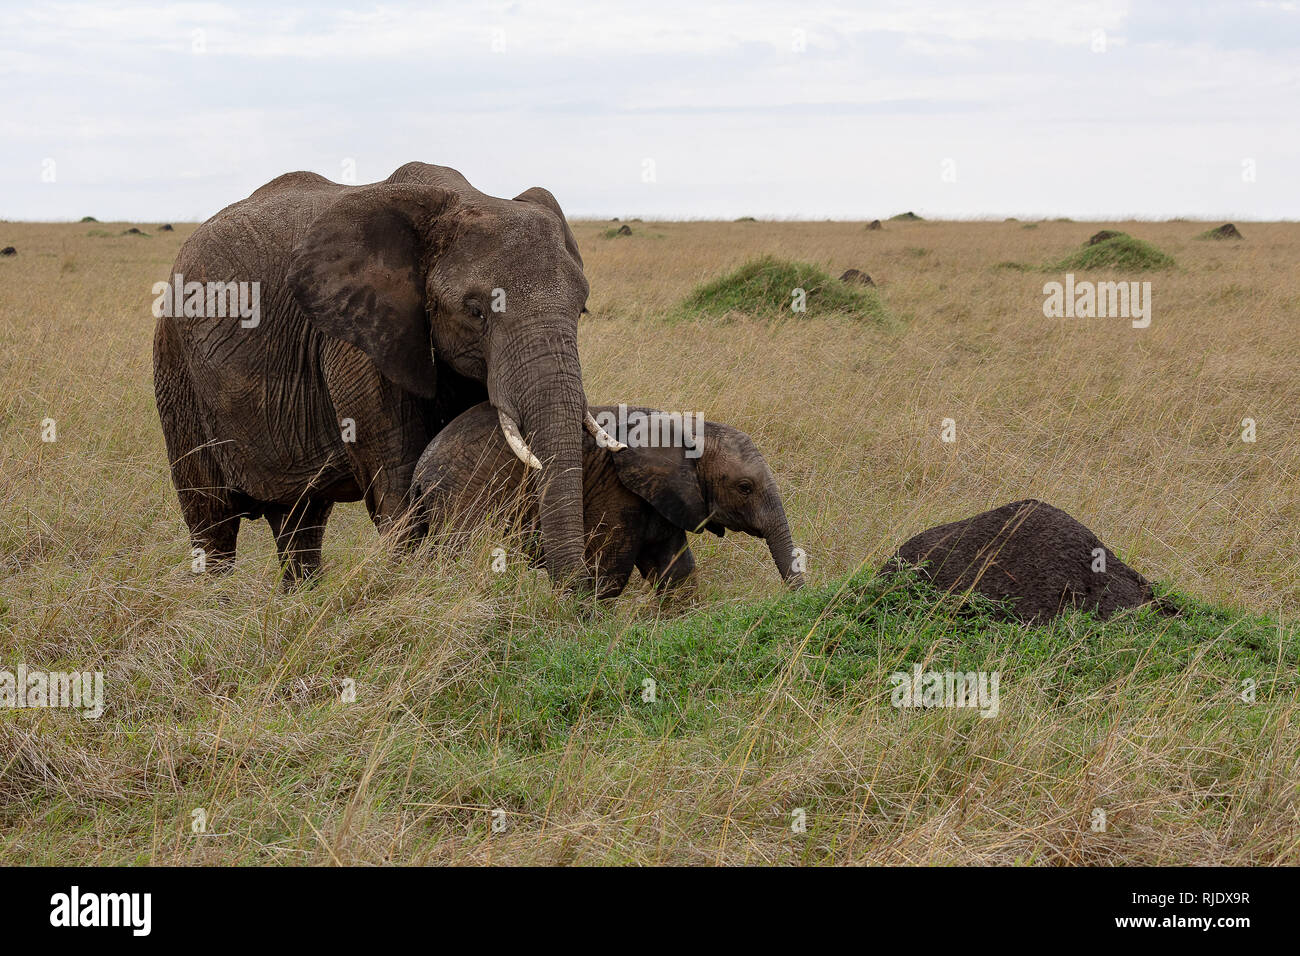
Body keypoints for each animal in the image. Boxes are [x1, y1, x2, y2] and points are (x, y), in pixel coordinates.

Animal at [154, 160, 616, 587]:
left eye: (581, 309)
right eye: (475, 311)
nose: (578, 589)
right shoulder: (357, 341)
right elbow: (398, 482)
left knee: (299, 521)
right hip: (176, 366)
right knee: (211, 523)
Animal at [416, 403, 800, 598]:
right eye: (745, 487)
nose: (796, 600)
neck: (686, 426)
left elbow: (676, 572)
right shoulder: (615, 491)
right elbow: (609, 572)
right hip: (463, 494)